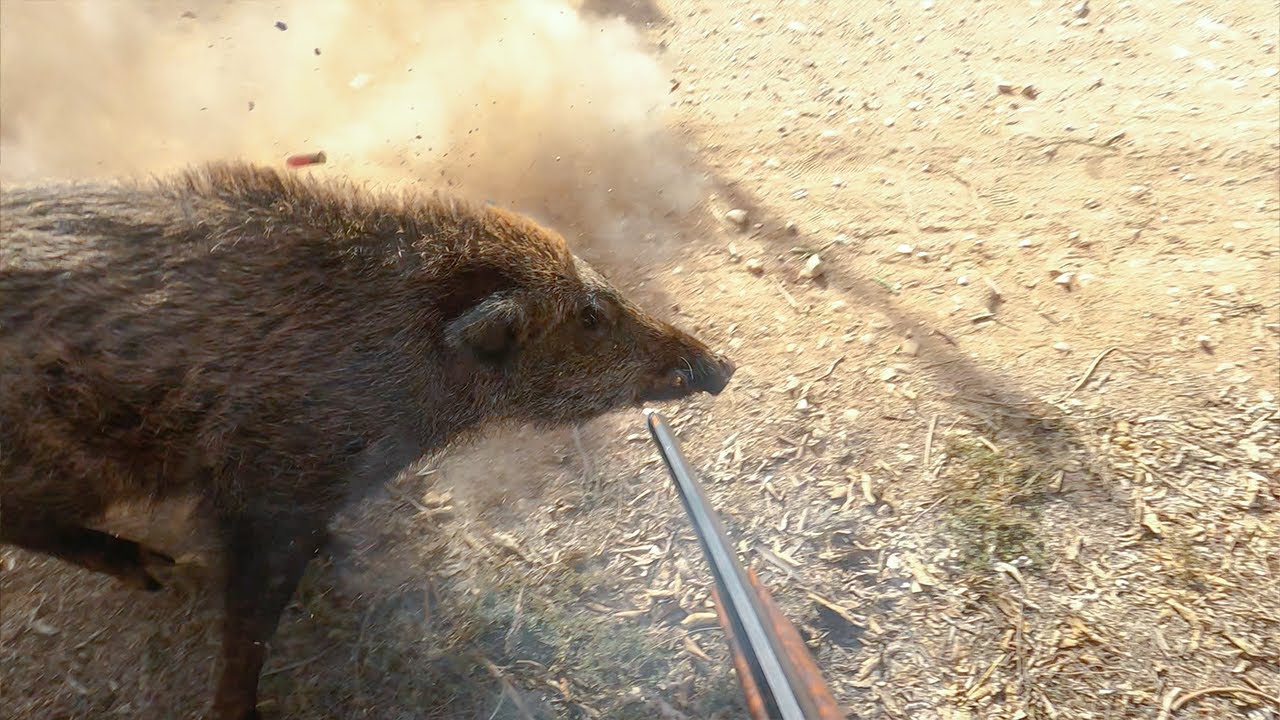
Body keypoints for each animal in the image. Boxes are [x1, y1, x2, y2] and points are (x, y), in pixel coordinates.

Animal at [0, 162, 735, 719]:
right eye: (589, 317)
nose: (721, 366)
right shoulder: (278, 483)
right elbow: (252, 619)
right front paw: (239, 702)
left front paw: (343, 552)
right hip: (65, 464)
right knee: (32, 524)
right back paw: (154, 571)